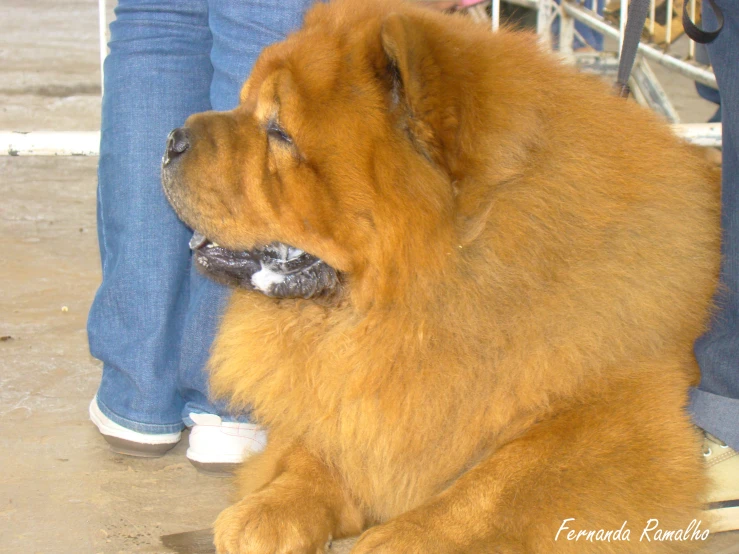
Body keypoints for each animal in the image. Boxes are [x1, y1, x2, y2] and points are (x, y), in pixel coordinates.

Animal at [159, 0, 720, 548]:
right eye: (245, 106)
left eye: (280, 131)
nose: (171, 138)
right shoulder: (350, 386)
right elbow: (322, 442)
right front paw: (269, 510)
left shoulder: (627, 413)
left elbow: (500, 477)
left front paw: (402, 537)